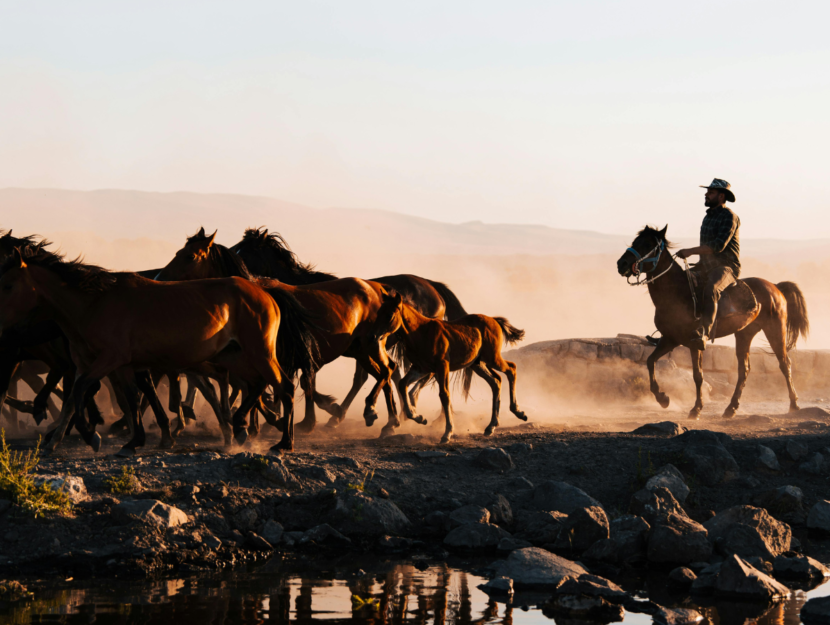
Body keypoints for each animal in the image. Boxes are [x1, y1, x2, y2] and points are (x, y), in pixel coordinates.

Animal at [0, 245, 312, 454]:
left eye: (8, 285)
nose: (3, 326)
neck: (94, 304)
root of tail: (264, 291)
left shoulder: (108, 360)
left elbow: (83, 392)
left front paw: (93, 437)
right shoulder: (110, 365)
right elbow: (113, 399)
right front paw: (131, 440)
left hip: (258, 352)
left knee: (282, 386)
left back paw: (283, 442)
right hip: (233, 355)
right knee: (256, 384)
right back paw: (239, 426)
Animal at [231, 228, 472, 428]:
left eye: (246, 250)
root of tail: (434, 287)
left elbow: (307, 381)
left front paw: (315, 416)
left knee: (412, 374)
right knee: (387, 376)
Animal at [368, 292, 528, 444]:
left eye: (389, 315)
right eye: (379, 312)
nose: (373, 337)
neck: (420, 333)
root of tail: (494, 320)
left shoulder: (442, 366)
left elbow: (444, 395)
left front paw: (447, 434)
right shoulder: (421, 368)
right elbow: (402, 384)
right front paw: (419, 417)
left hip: (492, 358)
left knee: (511, 369)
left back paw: (518, 412)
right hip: (478, 364)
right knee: (496, 381)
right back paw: (491, 426)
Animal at [620, 225, 808, 420]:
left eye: (648, 244)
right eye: (635, 241)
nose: (622, 264)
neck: (678, 293)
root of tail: (775, 287)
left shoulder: (695, 343)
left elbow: (698, 375)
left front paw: (696, 409)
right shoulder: (670, 339)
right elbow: (650, 361)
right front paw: (663, 398)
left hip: (775, 329)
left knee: (784, 363)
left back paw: (794, 404)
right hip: (744, 333)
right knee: (744, 370)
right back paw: (731, 408)